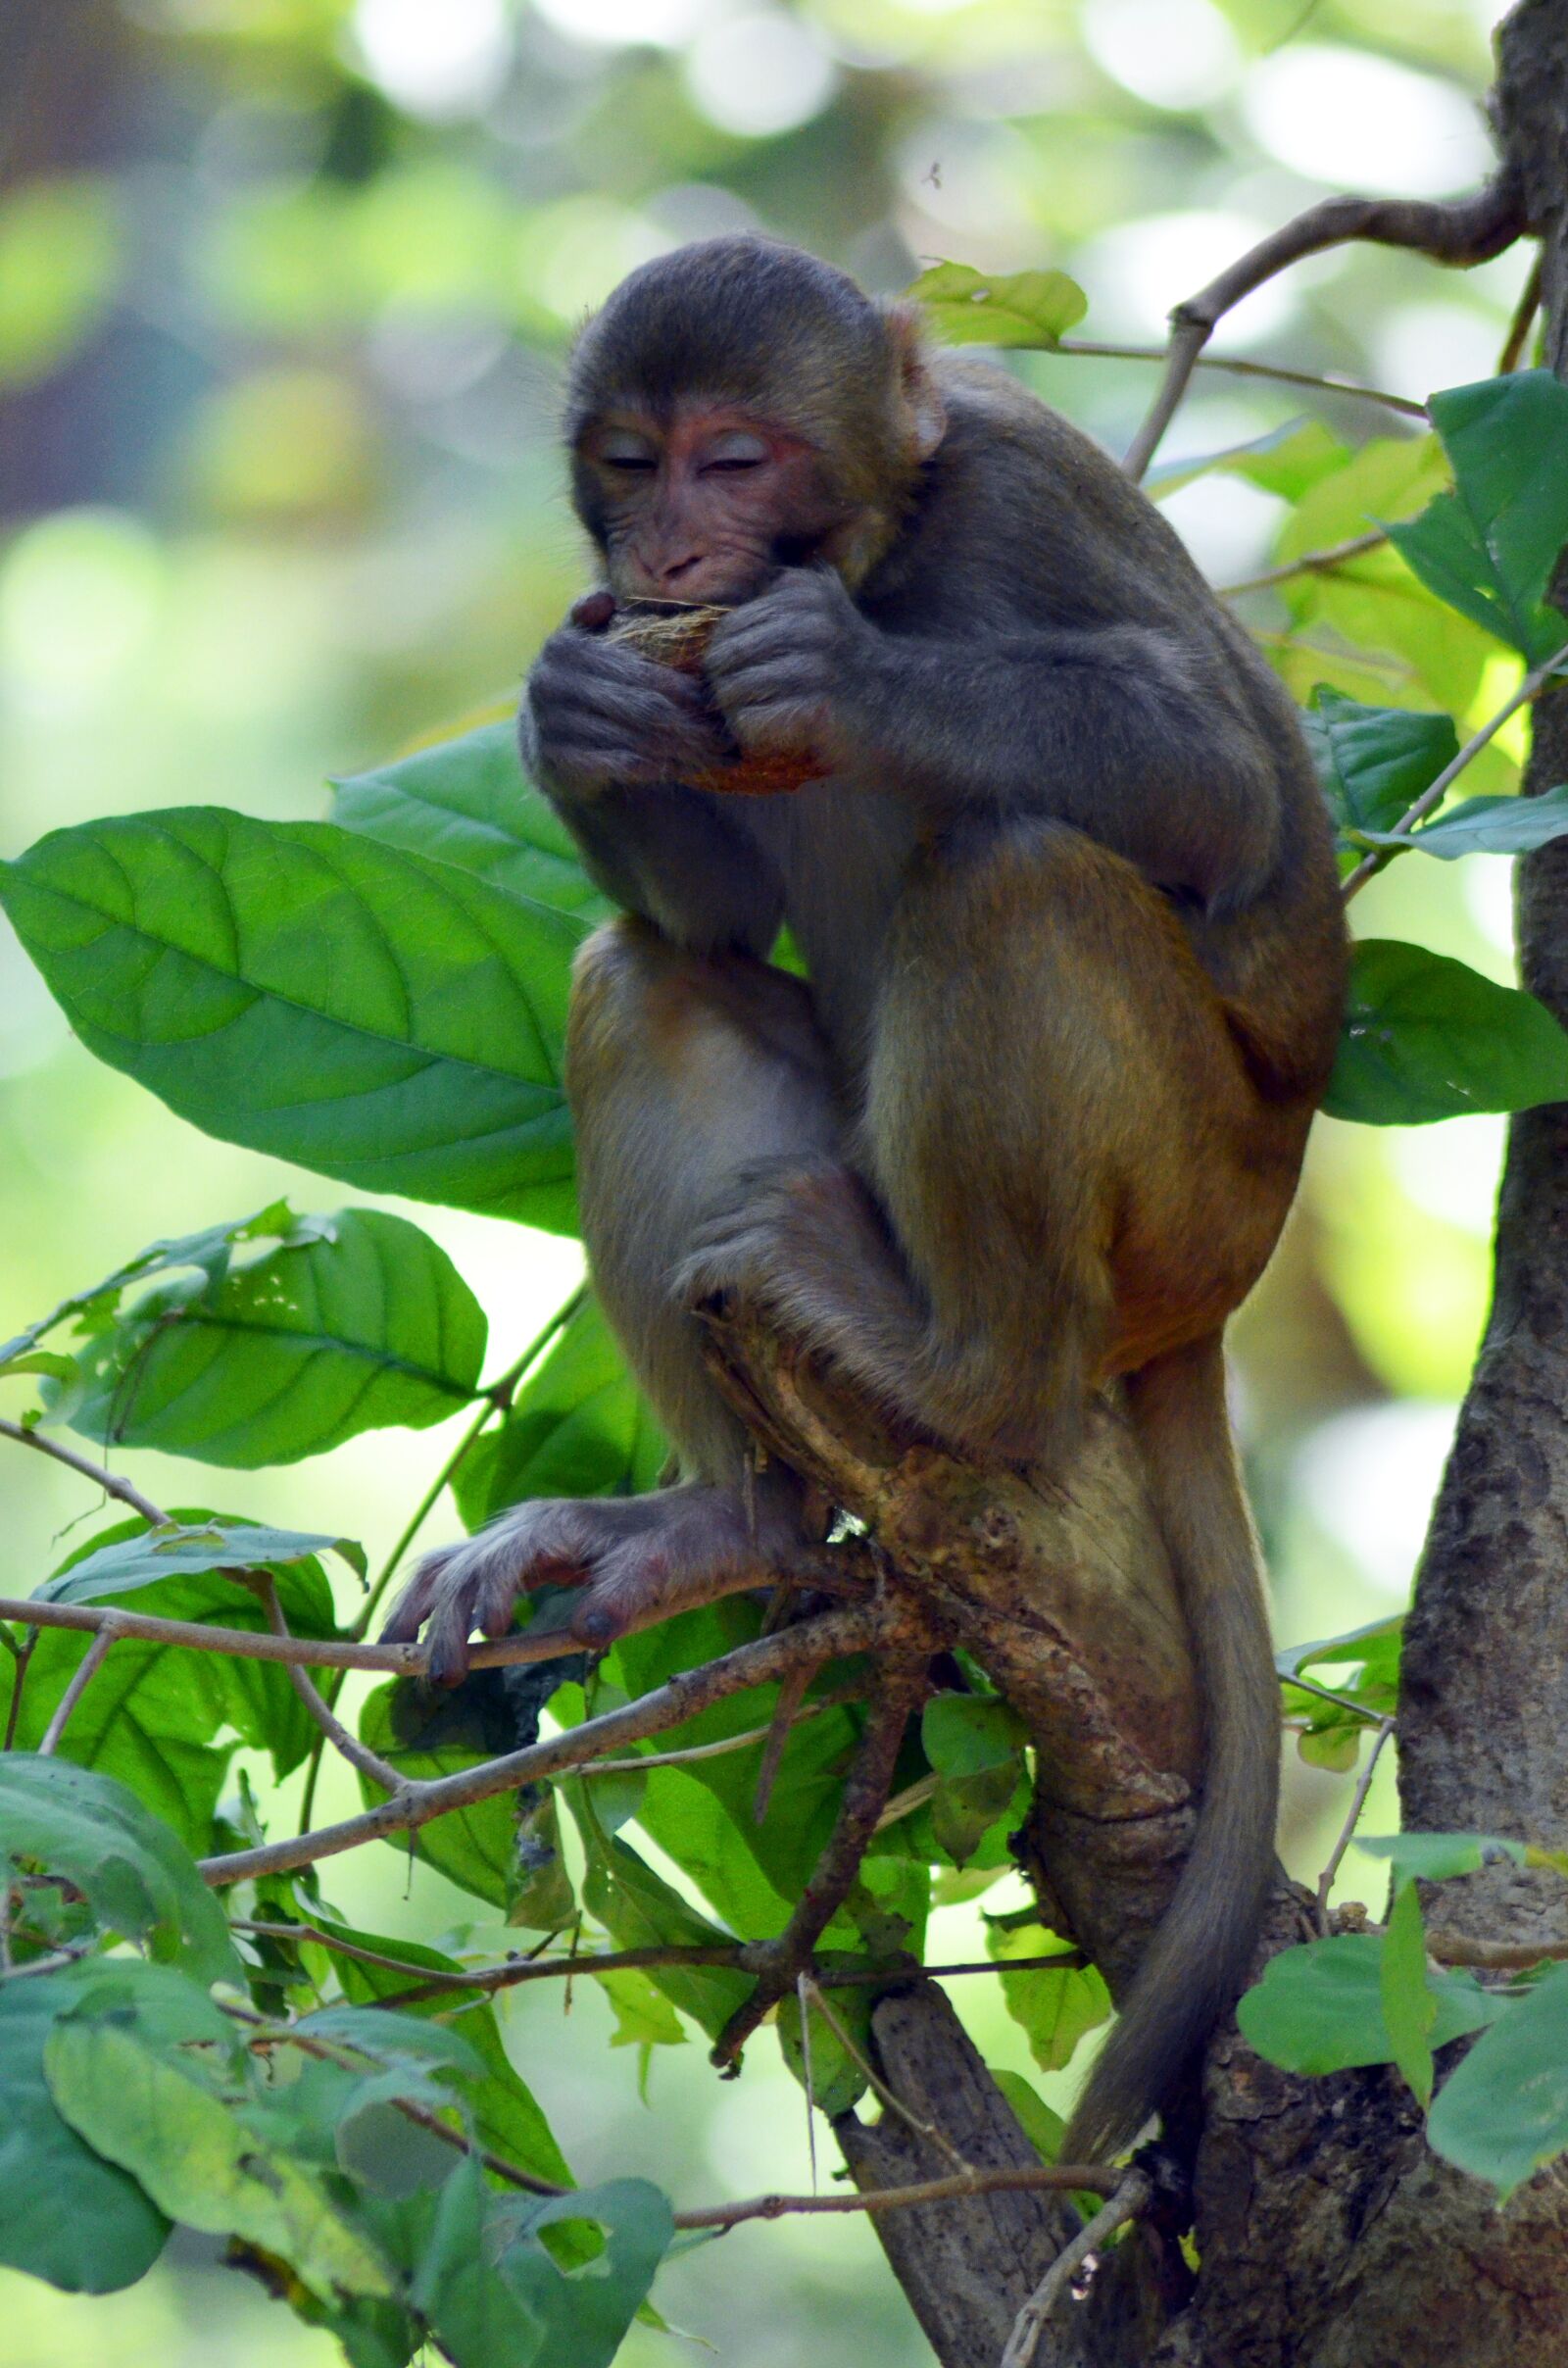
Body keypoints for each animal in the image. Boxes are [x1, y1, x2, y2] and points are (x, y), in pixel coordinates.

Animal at [383, 235, 1349, 2161]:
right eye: (630, 462)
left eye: (736, 460)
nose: (674, 559)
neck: (889, 546)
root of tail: (1221, 1296)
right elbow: (706, 916)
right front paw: (576, 716)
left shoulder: (1025, 495)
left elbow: (1230, 797)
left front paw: (845, 677)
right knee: (642, 974)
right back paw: (726, 1524)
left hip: (1182, 1203)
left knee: (1017, 870)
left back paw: (975, 1380)